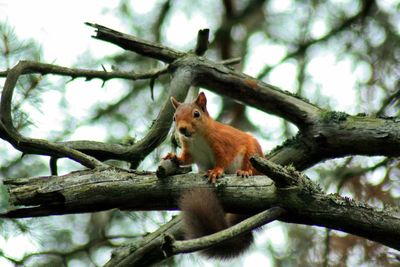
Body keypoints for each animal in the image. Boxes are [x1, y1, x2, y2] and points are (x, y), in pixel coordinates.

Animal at [162, 92, 262, 260]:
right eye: (174, 117)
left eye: (196, 114)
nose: (182, 129)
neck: (197, 139)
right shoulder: (190, 151)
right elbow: (185, 159)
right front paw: (173, 157)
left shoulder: (223, 144)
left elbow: (223, 159)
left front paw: (216, 171)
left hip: (252, 153)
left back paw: (246, 171)